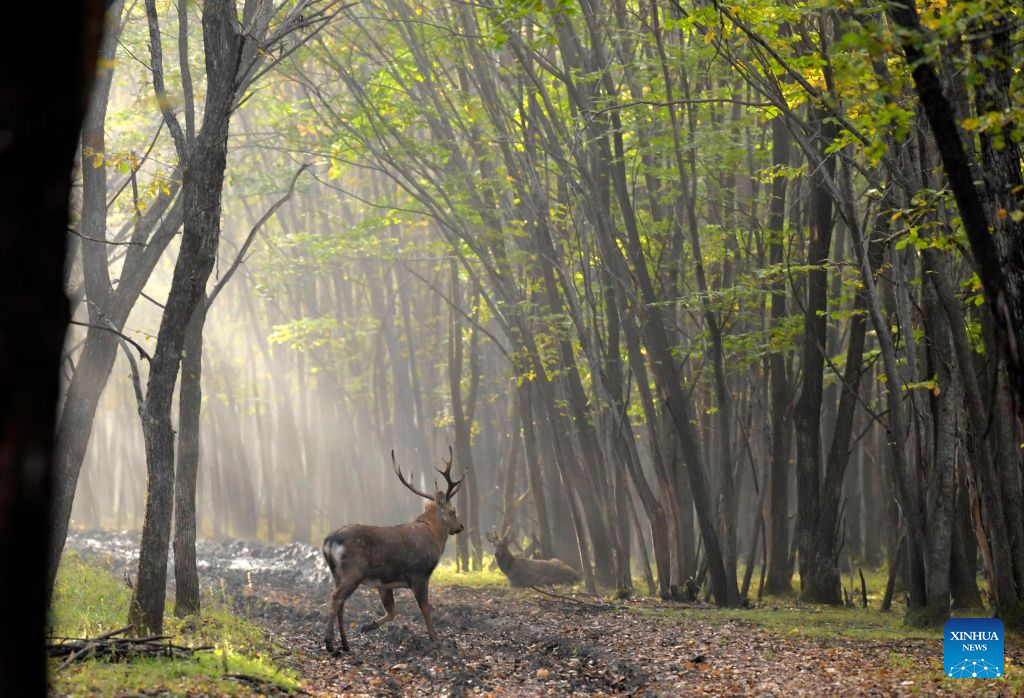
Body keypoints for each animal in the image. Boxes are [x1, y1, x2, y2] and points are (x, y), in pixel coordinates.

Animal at [321, 448, 464, 654]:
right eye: (453, 511)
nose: (460, 526)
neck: (433, 535)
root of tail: (329, 542)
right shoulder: (420, 573)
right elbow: (425, 607)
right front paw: (435, 638)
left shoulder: (384, 583)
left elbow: (392, 611)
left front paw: (367, 626)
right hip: (353, 571)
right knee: (335, 598)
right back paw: (329, 642)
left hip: (337, 573)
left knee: (340, 602)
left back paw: (346, 644)